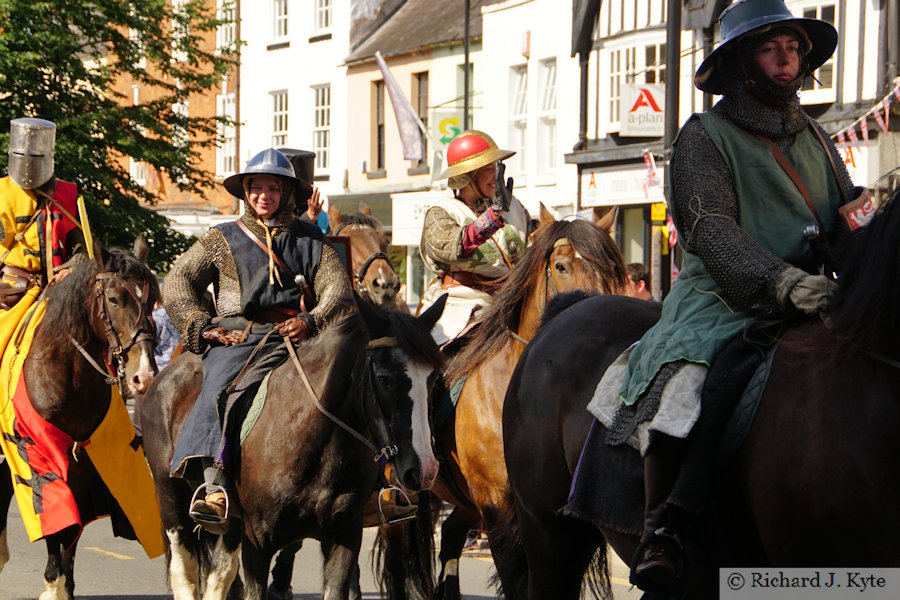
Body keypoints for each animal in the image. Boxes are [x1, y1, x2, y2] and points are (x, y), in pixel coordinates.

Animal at [142, 296, 446, 600]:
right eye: (384, 379)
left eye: (432, 378)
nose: (424, 470)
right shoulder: (257, 542)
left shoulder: (344, 537)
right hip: (170, 498)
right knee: (185, 570)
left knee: (221, 574)